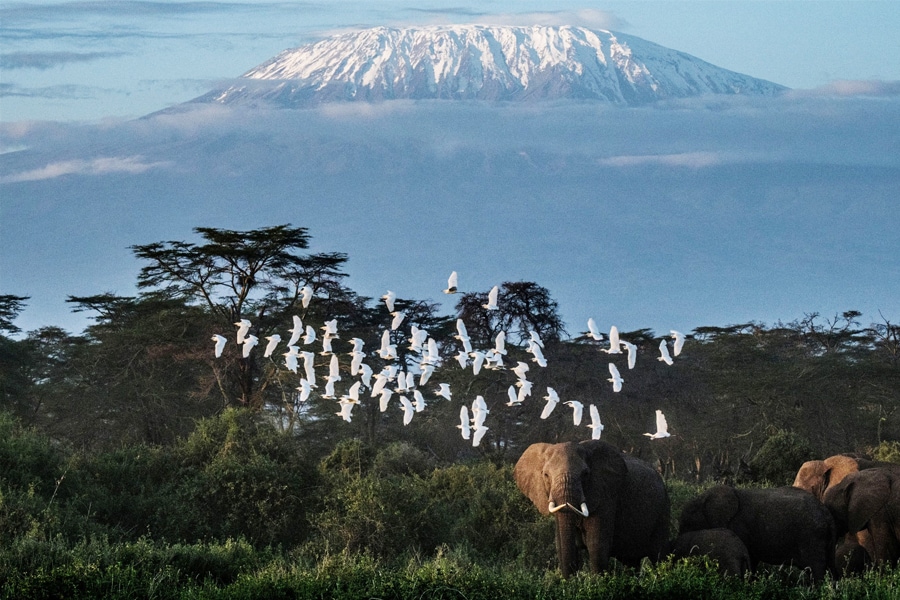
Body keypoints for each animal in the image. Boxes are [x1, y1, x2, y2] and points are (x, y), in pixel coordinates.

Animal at [512, 440, 668, 576]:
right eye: (546, 475)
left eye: (585, 474)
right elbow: (562, 546)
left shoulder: (605, 496)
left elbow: (596, 545)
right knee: (631, 562)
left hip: (663, 510)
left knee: (659, 555)